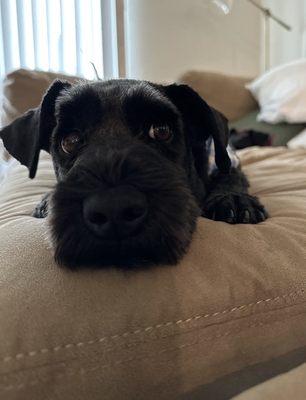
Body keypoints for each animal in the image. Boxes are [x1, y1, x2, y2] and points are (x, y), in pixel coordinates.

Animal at [0, 79, 266, 268]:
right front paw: (46, 200)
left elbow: (231, 175)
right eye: (70, 140)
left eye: (161, 130)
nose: (114, 208)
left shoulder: (227, 160)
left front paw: (232, 198)